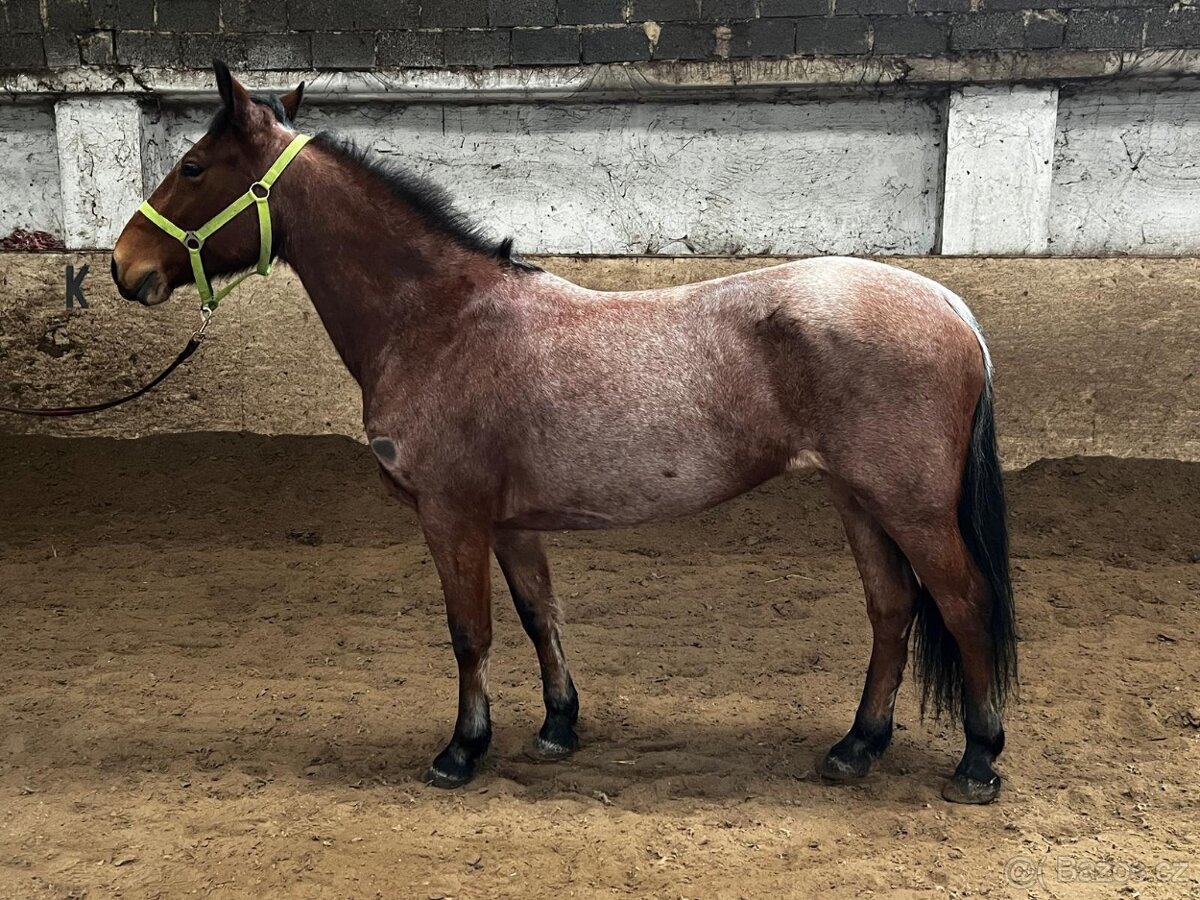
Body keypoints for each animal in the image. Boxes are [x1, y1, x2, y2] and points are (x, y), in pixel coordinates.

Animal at [112, 61, 1017, 804]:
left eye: (193, 167)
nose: (124, 268)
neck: (440, 320)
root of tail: (952, 307)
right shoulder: (511, 523)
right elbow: (537, 612)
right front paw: (557, 726)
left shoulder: (451, 516)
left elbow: (469, 632)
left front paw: (462, 750)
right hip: (857, 499)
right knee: (893, 608)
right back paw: (857, 746)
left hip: (911, 509)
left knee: (963, 602)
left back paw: (977, 761)